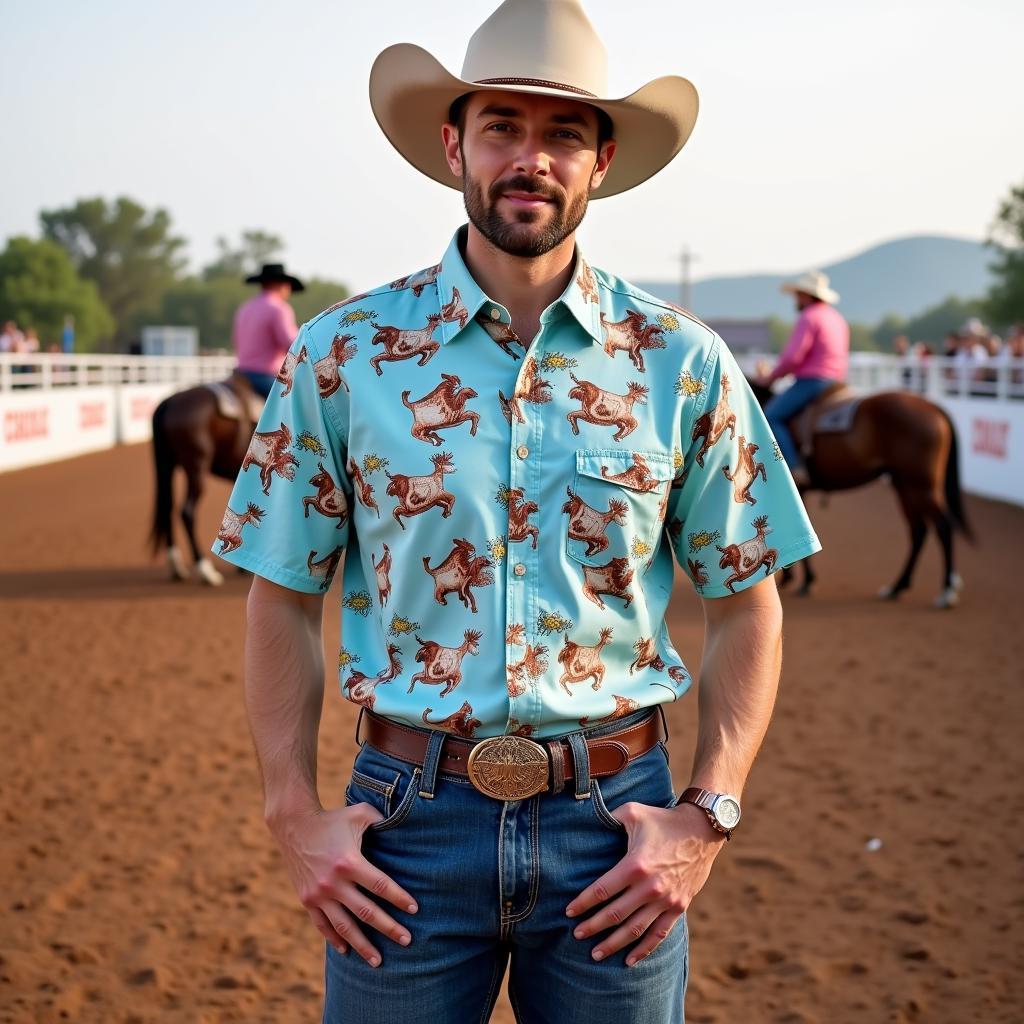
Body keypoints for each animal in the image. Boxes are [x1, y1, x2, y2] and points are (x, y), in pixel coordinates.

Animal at [149, 374, 262, 585]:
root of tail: (169, 402)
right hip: (196, 467)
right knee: (187, 512)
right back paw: (205, 569)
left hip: (168, 465)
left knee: (167, 507)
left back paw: (177, 567)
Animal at [749, 382, 970, 606]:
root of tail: (932, 406)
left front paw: (805, 580)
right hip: (904, 485)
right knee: (919, 531)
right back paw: (897, 587)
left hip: (921, 486)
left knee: (943, 527)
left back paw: (946, 591)